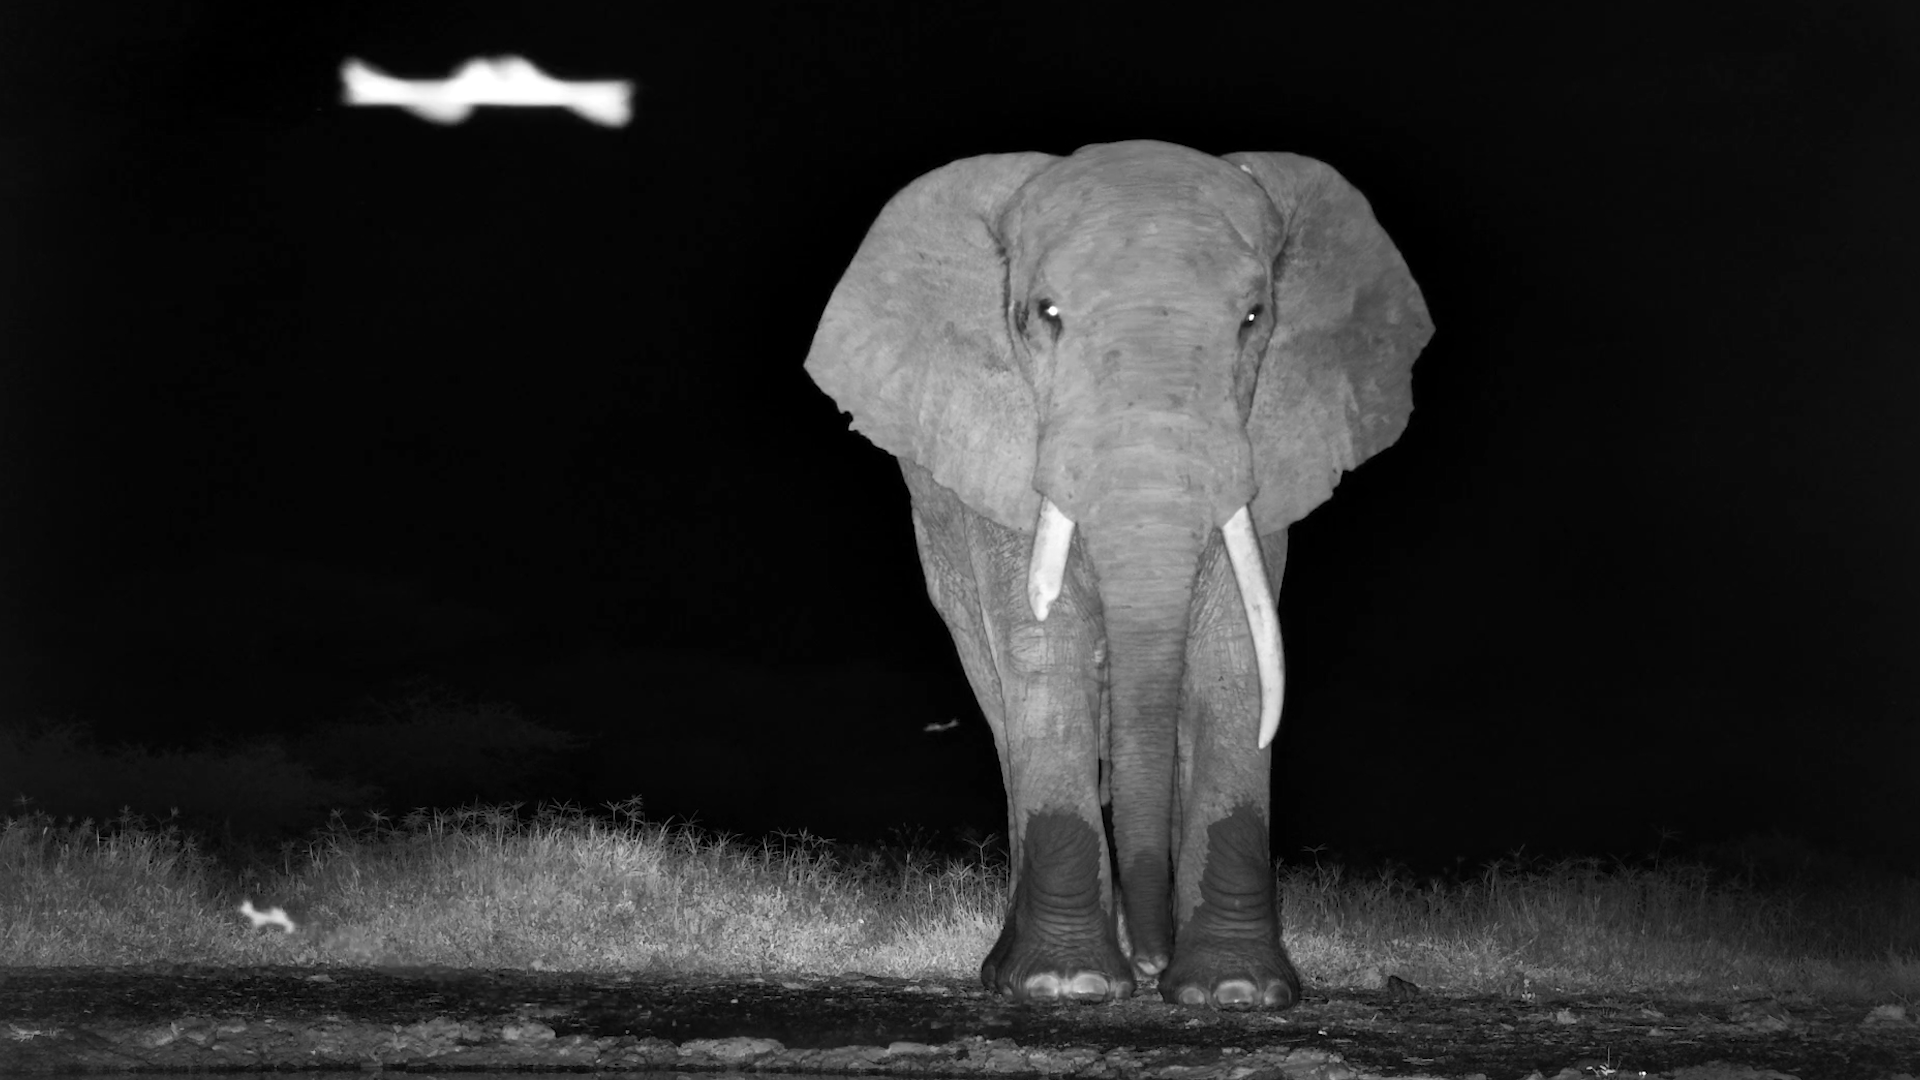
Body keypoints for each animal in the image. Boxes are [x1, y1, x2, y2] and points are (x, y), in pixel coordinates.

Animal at [805, 140, 1431, 1008]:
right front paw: (1066, 984)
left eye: (1254, 319)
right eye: (1043, 314)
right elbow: (1045, 655)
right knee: (1004, 707)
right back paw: (1015, 970)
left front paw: (1234, 993)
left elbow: (1235, 661)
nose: (1153, 966)